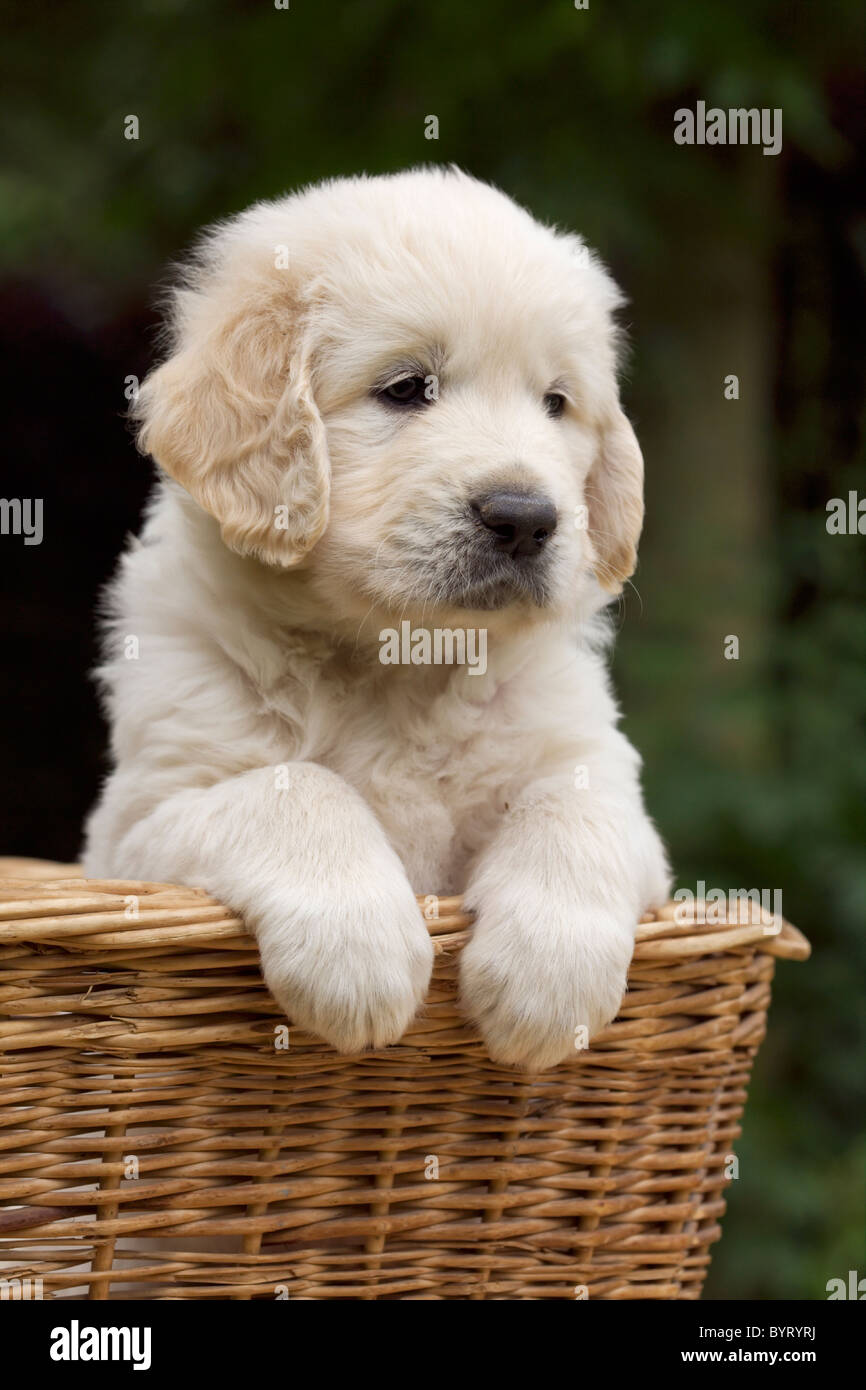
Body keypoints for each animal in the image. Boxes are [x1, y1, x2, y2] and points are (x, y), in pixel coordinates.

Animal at [84, 168, 670, 1067]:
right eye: (405, 389)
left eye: (556, 403)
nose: (525, 518)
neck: (397, 663)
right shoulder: (142, 826)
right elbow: (297, 788)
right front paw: (359, 957)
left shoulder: (597, 774)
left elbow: (572, 810)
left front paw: (546, 984)